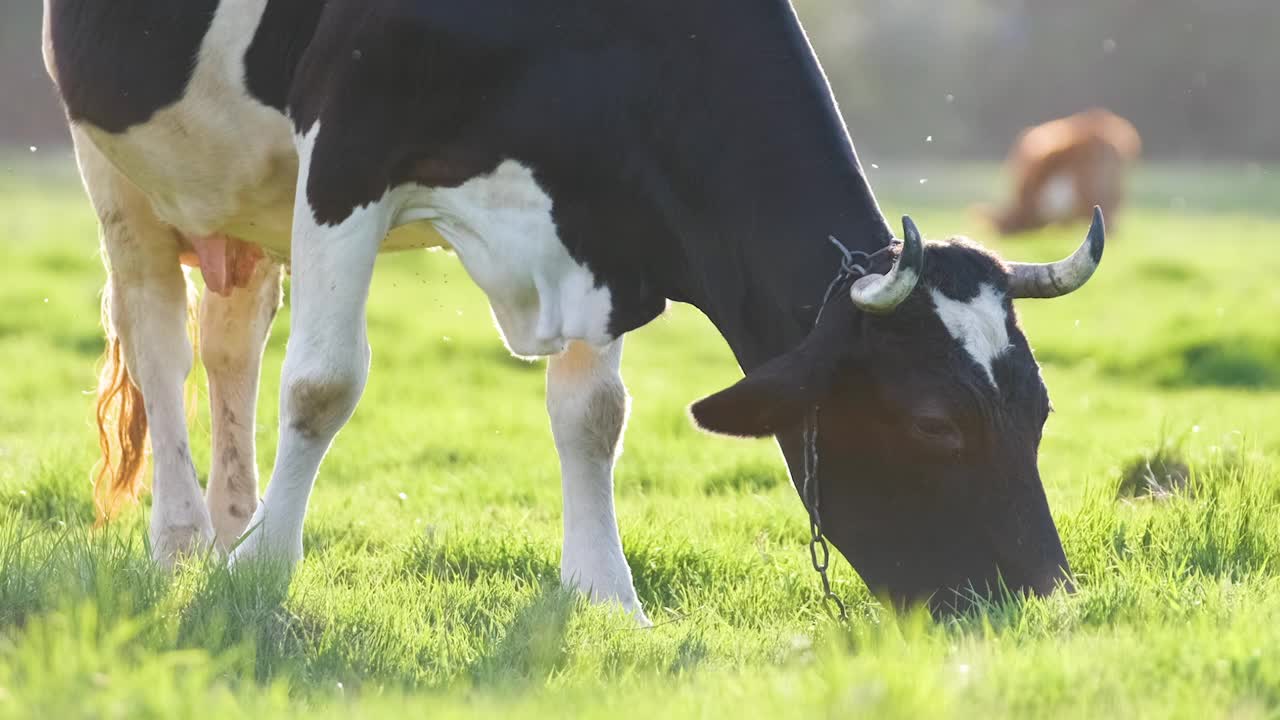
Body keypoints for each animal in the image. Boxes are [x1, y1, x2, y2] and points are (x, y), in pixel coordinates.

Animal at [40, 0, 1100, 617]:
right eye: (934, 425)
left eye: (1042, 412)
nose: (1046, 604)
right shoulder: (349, 140)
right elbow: (323, 384)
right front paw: (263, 573)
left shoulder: (605, 225)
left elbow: (593, 416)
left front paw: (606, 595)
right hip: (115, 164)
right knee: (158, 339)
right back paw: (185, 544)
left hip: (241, 198)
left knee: (230, 345)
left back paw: (232, 522)